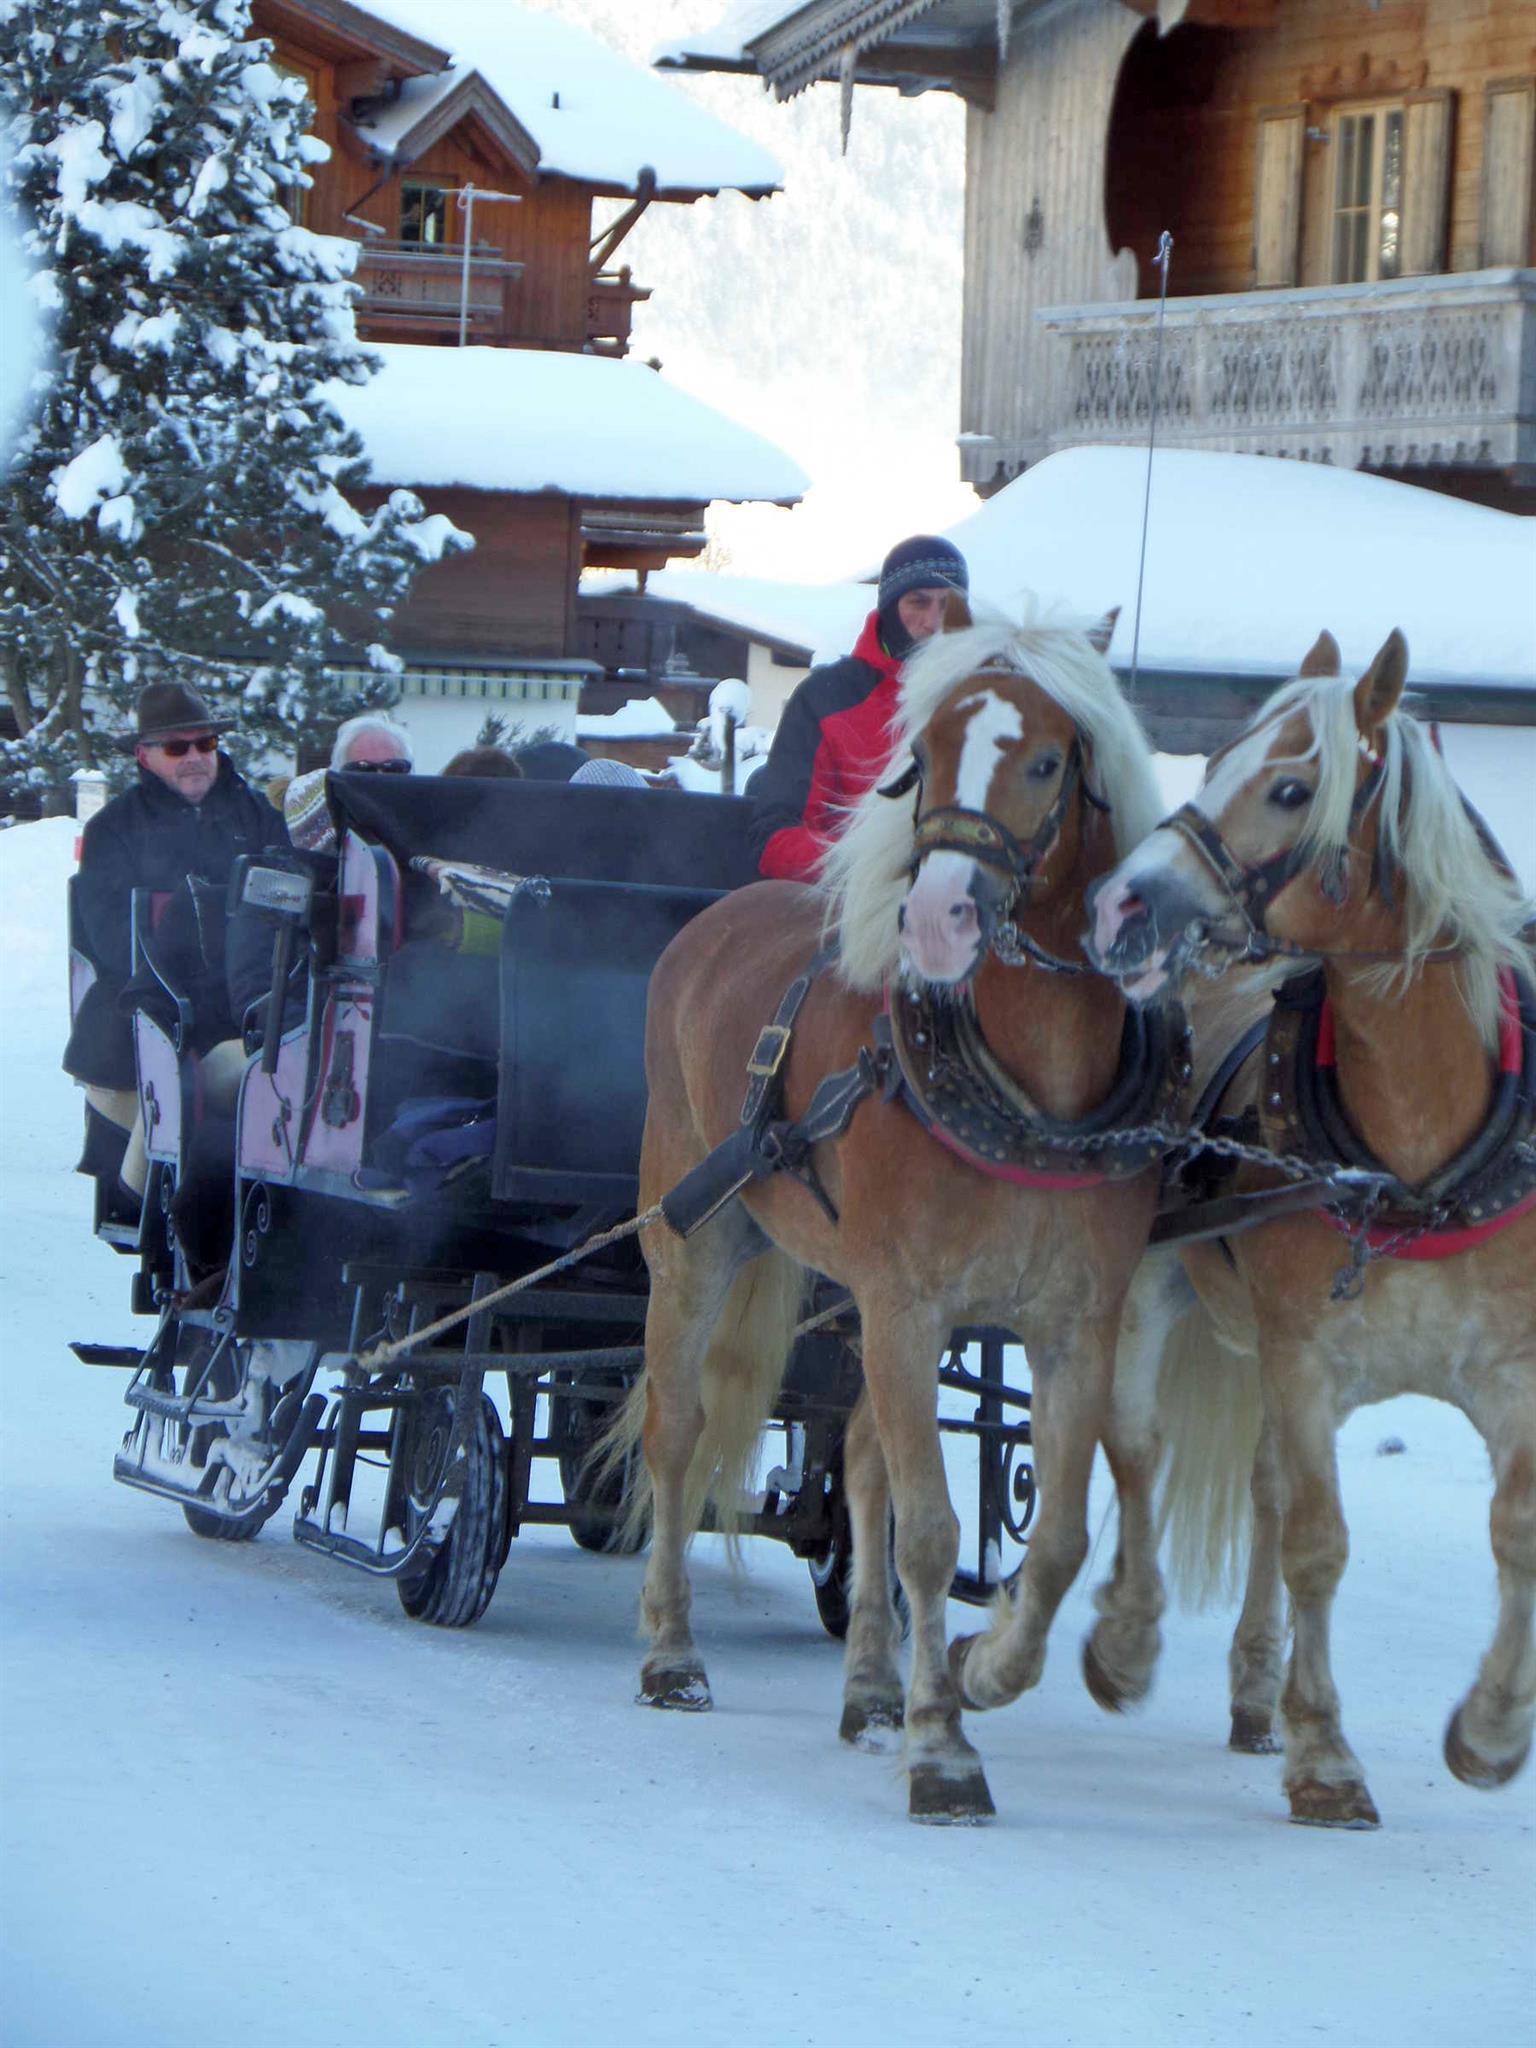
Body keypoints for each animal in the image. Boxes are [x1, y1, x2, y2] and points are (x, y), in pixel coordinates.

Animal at [623, 598, 1174, 1823]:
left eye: (1049, 760)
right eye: (921, 755)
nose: (935, 917)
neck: (1029, 1095)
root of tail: (709, 923)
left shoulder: (1069, 1323)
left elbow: (1055, 1537)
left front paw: (982, 1668)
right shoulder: (908, 1308)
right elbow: (929, 1530)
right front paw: (943, 1748)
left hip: (855, 1296)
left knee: (864, 1458)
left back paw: (871, 1686)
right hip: (698, 1237)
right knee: (676, 1432)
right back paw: (673, 1651)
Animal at [1083, 626, 1536, 1826]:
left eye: (1292, 788)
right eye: (1216, 757)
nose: (1118, 905)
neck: (1414, 1162)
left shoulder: (1513, 1373)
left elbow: (1515, 1530)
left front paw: (1490, 1732)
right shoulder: (1305, 1361)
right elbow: (1321, 1545)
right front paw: (1327, 1756)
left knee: (1264, 1492)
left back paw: (1255, 1693)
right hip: (1153, 1292)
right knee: (1137, 1451)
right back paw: (1126, 1641)